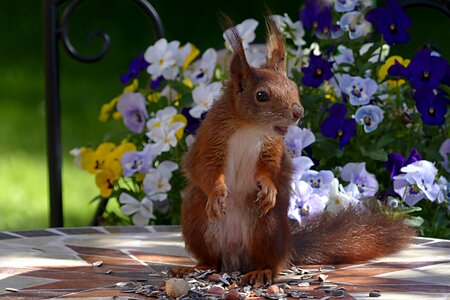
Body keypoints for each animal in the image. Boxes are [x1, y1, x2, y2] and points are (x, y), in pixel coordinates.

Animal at [171, 17, 414, 284]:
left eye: (293, 87)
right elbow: (203, 167)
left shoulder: (272, 147)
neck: (249, 128)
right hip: (197, 219)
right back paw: (195, 268)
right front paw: (217, 192)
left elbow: (269, 168)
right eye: (261, 95)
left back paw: (262, 270)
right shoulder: (211, 138)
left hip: (266, 226)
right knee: (211, 260)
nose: (298, 112)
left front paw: (267, 186)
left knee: (269, 261)